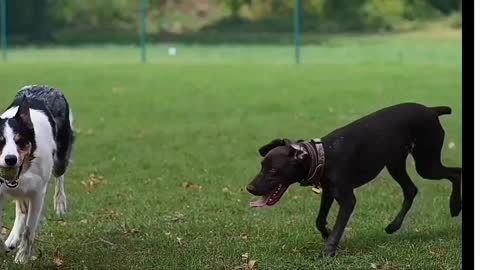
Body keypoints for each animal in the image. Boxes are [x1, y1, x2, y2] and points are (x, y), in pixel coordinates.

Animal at [0, 85, 75, 262]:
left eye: (20, 141)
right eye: (0, 142)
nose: (10, 159)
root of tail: (48, 87)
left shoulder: (37, 193)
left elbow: (29, 229)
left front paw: (22, 257)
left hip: (60, 158)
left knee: (60, 176)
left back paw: (60, 202)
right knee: (21, 207)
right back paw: (12, 238)